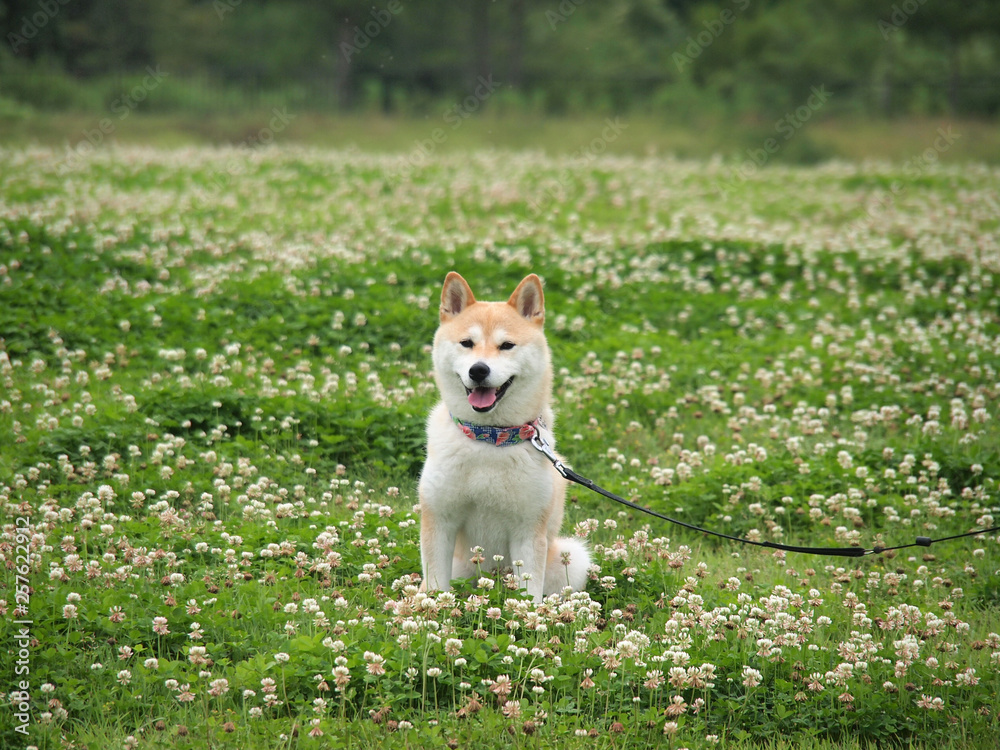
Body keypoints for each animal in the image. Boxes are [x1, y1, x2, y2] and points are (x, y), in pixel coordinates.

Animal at [418, 274, 588, 604]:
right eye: (467, 343)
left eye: (507, 345)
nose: (478, 370)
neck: (489, 439)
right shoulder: (440, 520)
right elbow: (435, 587)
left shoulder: (528, 530)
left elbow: (529, 595)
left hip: (572, 557)